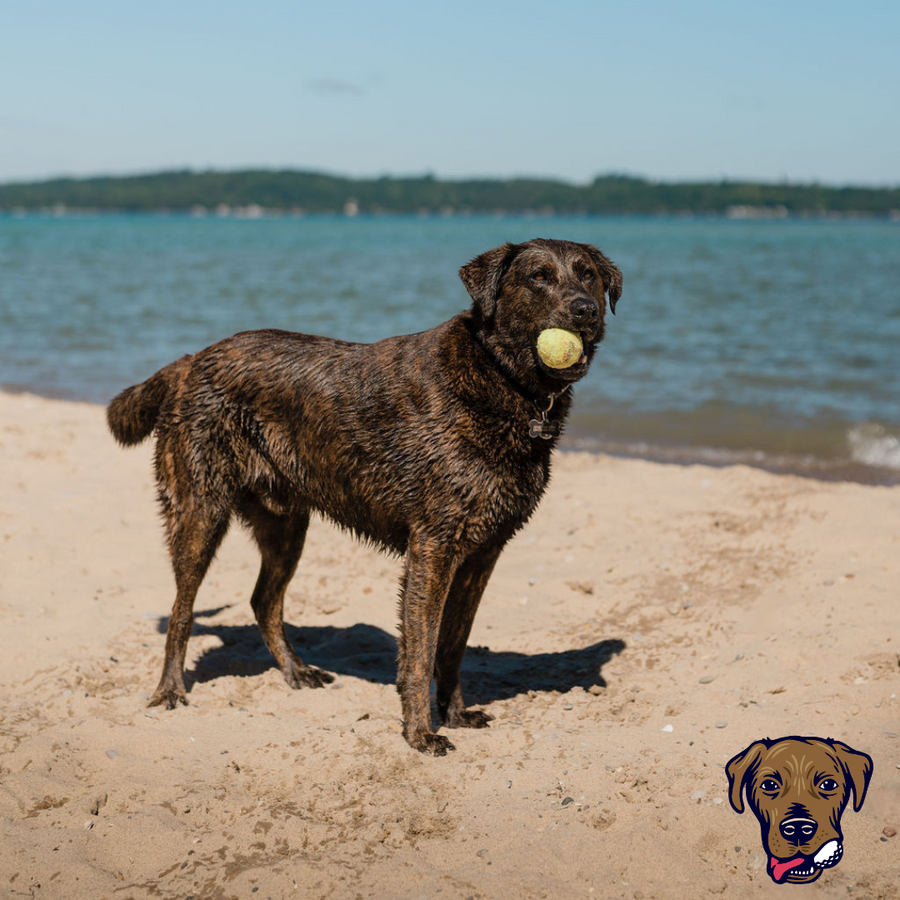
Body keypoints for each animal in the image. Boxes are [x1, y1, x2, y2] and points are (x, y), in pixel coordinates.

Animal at [109, 237, 624, 752]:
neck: (501, 377)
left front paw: (454, 714)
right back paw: (170, 689)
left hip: (285, 526)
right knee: (182, 611)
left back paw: (296, 671)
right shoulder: (433, 548)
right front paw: (419, 732)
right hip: (200, 514)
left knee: (263, 601)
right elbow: (421, 652)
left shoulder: (482, 554)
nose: (586, 309)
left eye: (589, 275)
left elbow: (453, 646)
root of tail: (191, 361)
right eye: (539, 276)